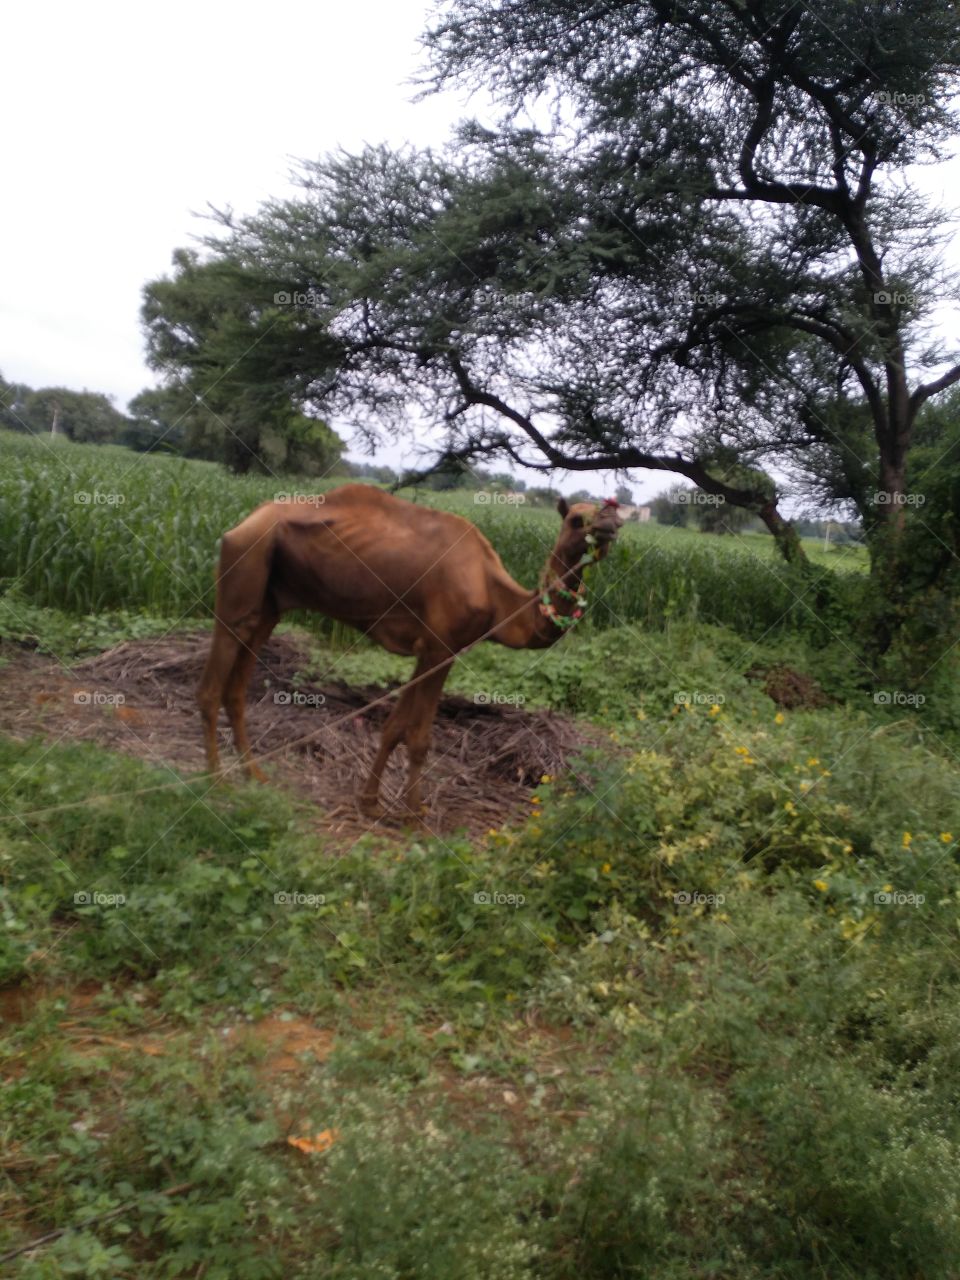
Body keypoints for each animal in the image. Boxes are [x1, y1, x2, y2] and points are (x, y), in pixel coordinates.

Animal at [197, 485, 621, 820]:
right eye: (576, 520)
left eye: (608, 514)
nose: (610, 521)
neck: (495, 596)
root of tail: (242, 524)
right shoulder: (441, 648)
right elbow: (418, 737)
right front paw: (414, 814)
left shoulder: (428, 650)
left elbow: (393, 728)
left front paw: (370, 802)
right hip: (244, 568)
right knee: (210, 689)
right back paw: (215, 780)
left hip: (271, 602)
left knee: (237, 688)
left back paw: (254, 775)